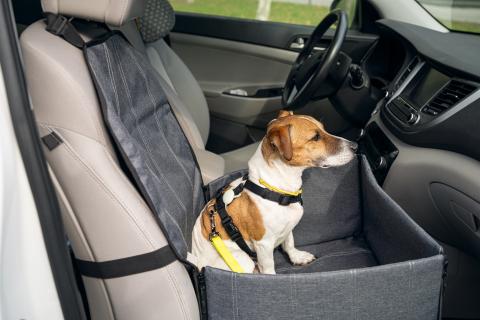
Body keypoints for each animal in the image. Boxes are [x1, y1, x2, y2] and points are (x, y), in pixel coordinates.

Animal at [191, 110, 356, 272]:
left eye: (323, 129)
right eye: (315, 137)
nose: (355, 146)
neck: (275, 189)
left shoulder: (288, 228)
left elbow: (289, 243)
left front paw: (297, 257)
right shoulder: (263, 244)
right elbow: (268, 267)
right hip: (242, 260)